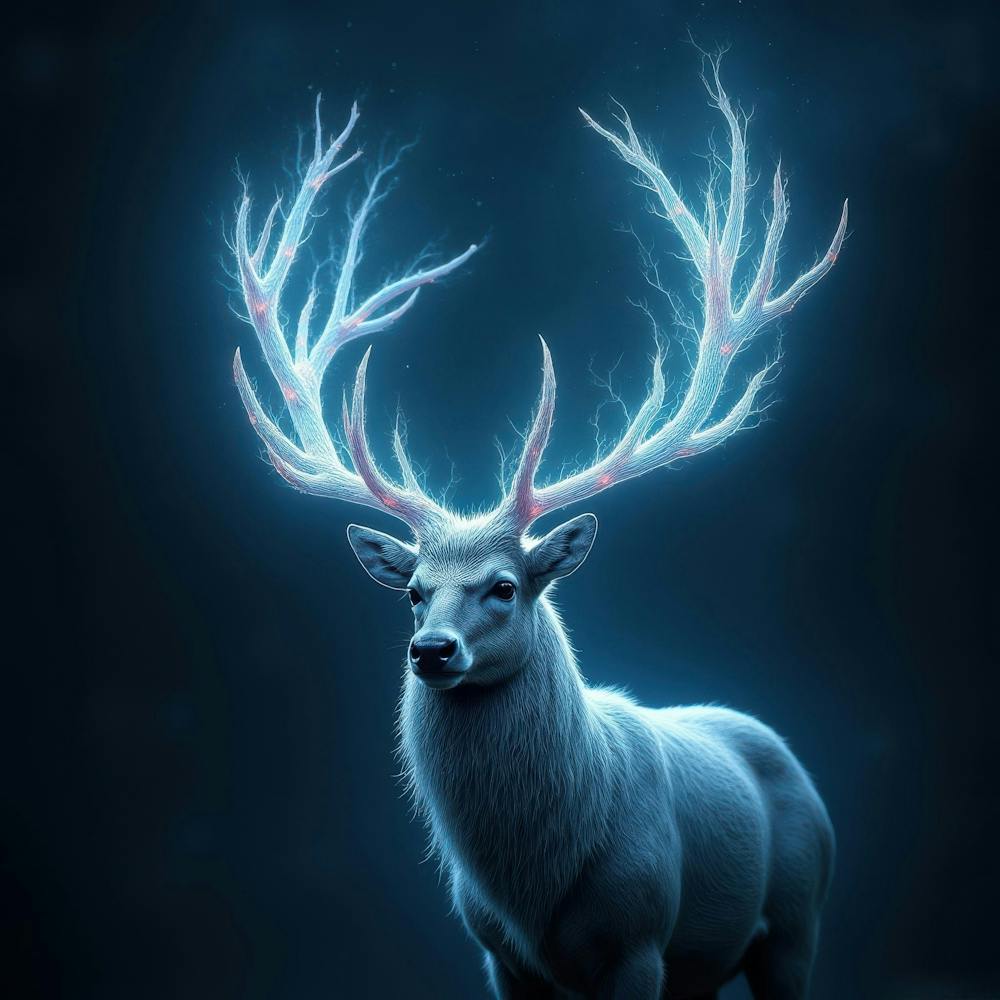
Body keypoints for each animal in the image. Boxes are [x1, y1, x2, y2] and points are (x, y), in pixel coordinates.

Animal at [229, 59, 847, 1000]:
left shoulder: (640, 941)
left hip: (797, 920)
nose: (432, 650)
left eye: (505, 586)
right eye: (413, 593)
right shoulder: (496, 954)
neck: (535, 886)